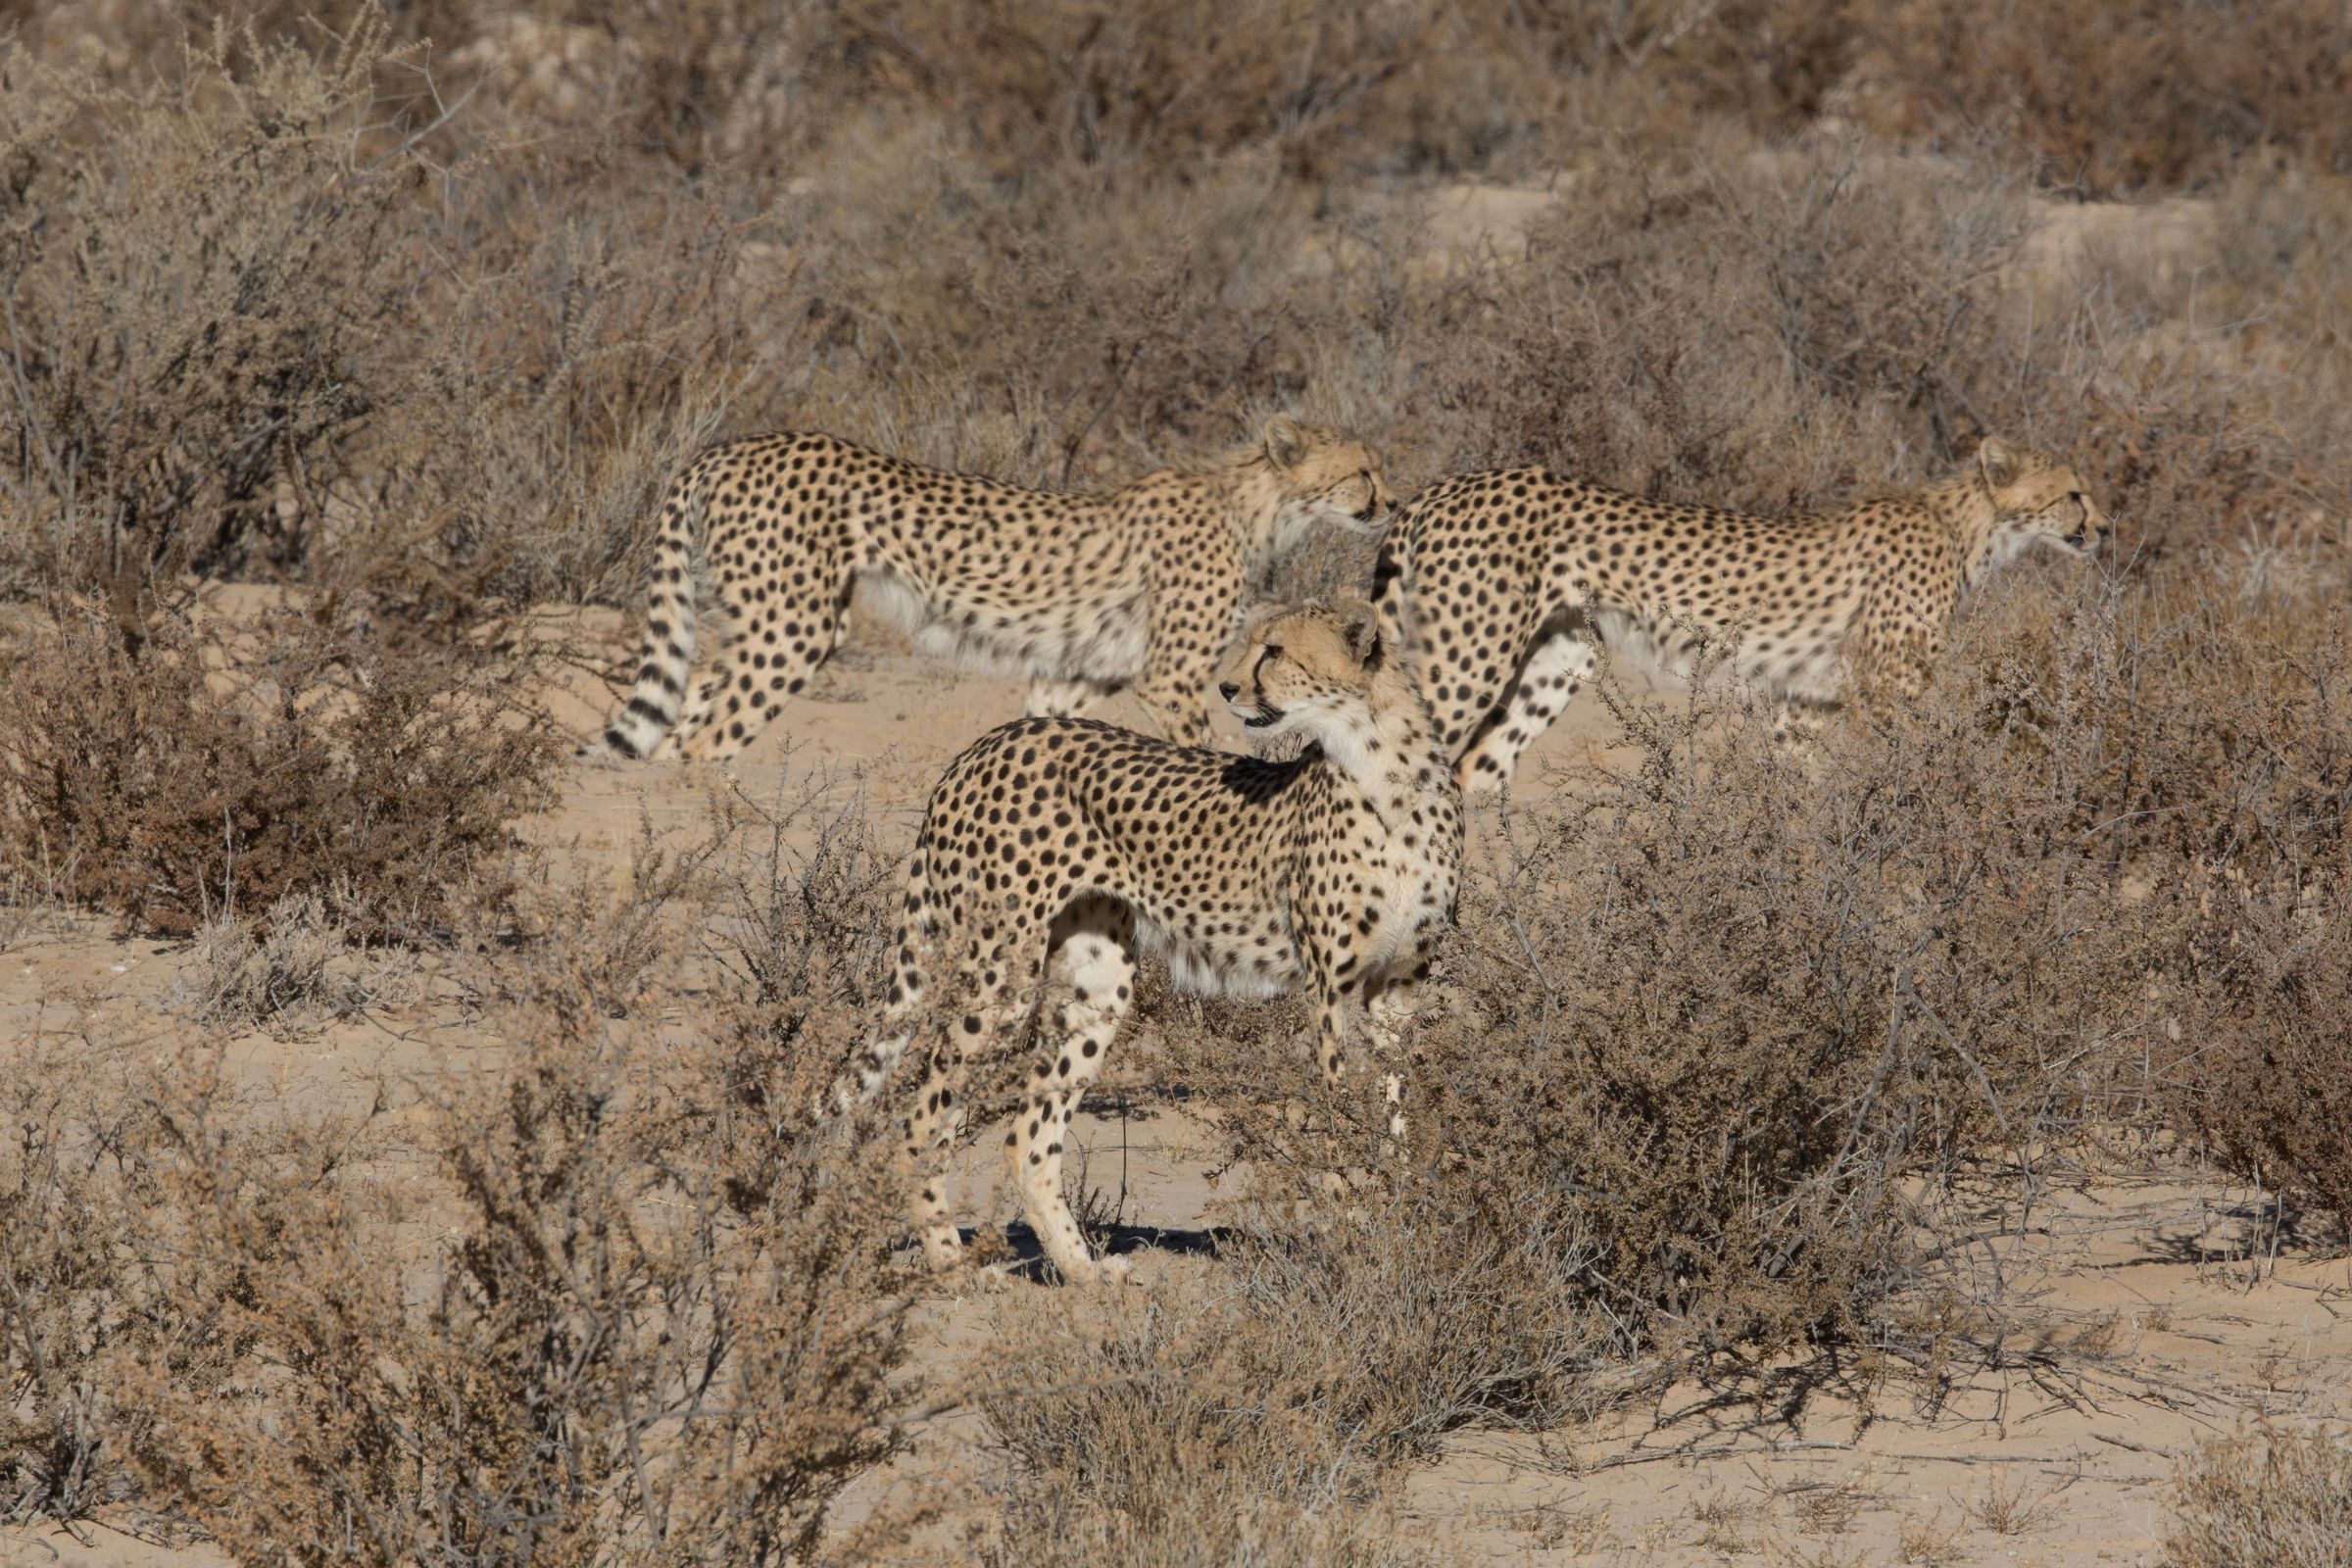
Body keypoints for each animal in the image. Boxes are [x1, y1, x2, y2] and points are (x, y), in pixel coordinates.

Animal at [592, 416, 1392, 761]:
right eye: (1363, 472)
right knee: (705, 739)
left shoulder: (1071, 676)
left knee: (685, 708)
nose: (1390, 502)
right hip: (795, 626)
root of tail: (731, 445)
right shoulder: (1169, 679)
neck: (1257, 505)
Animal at [856, 606, 1458, 1288]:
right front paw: (1351, 1230)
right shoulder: (1329, 991)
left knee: (1029, 1138)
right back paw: (950, 1260)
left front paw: (1400, 1212)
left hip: (1098, 985)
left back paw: (1083, 1270)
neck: (1386, 771)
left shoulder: (1397, 993)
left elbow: (1396, 1112)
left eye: (1274, 651)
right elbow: (1337, 1117)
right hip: (999, 973)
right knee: (919, 1122)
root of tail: (990, 741)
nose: (1227, 688)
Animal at [1364, 434, 2117, 799]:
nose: (2107, 529)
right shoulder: (1888, 692)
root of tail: (1445, 484)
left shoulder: (1808, 701)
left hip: (1558, 657)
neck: (1970, 527)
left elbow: (1806, 797)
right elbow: (1913, 770)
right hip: (1468, 659)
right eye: (2074, 493)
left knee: (1473, 771)